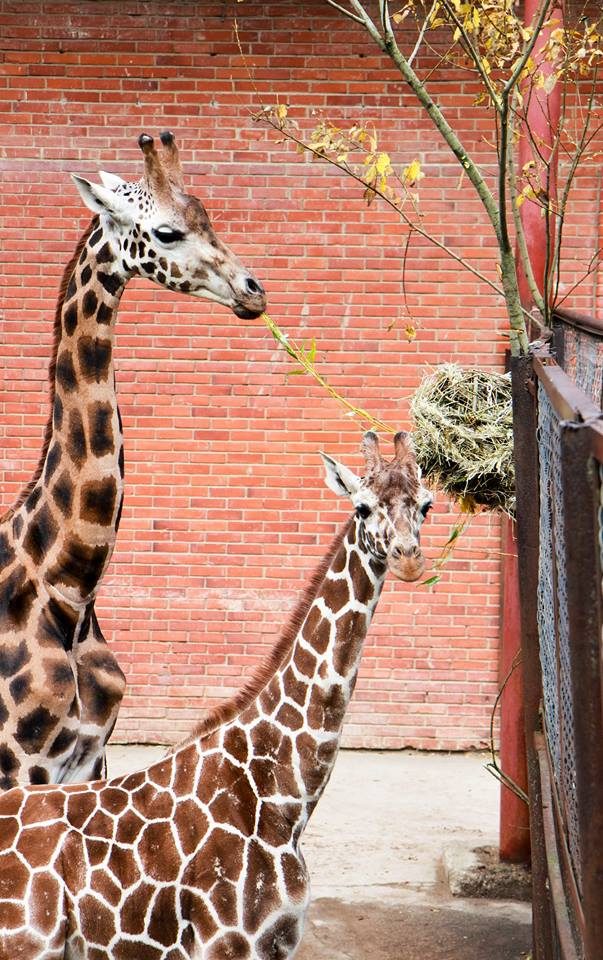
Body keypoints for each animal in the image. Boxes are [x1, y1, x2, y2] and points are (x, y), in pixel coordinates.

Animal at [0, 129, 266, 788]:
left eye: (208, 217)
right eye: (166, 232)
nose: (255, 292)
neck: (70, 589)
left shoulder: (87, 760)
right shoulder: (21, 765)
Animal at [0, 432, 434, 956]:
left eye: (427, 506)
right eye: (363, 507)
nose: (408, 559)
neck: (284, 794)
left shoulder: (278, 943)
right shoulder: (224, 942)